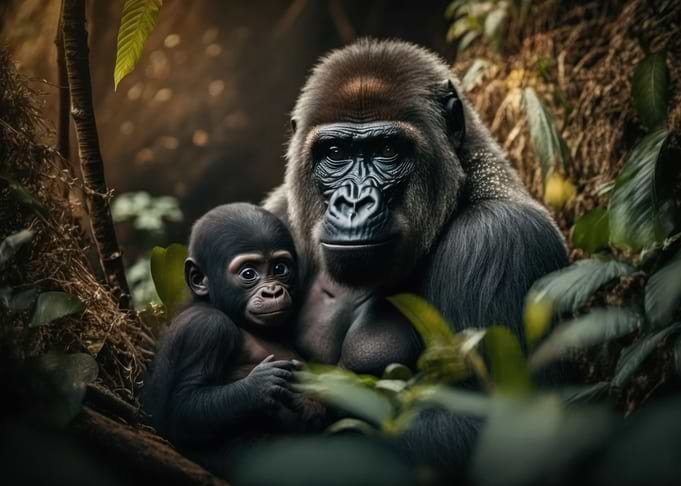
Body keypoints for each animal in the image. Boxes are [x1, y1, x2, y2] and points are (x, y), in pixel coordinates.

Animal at [141, 203, 324, 478]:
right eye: (248, 273)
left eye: (279, 269)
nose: (272, 291)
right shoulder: (204, 329)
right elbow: (181, 409)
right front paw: (260, 385)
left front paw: (311, 404)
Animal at [263, 39, 570, 479]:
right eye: (335, 153)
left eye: (388, 150)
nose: (353, 202)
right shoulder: (279, 212)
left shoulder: (503, 237)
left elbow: (493, 424)